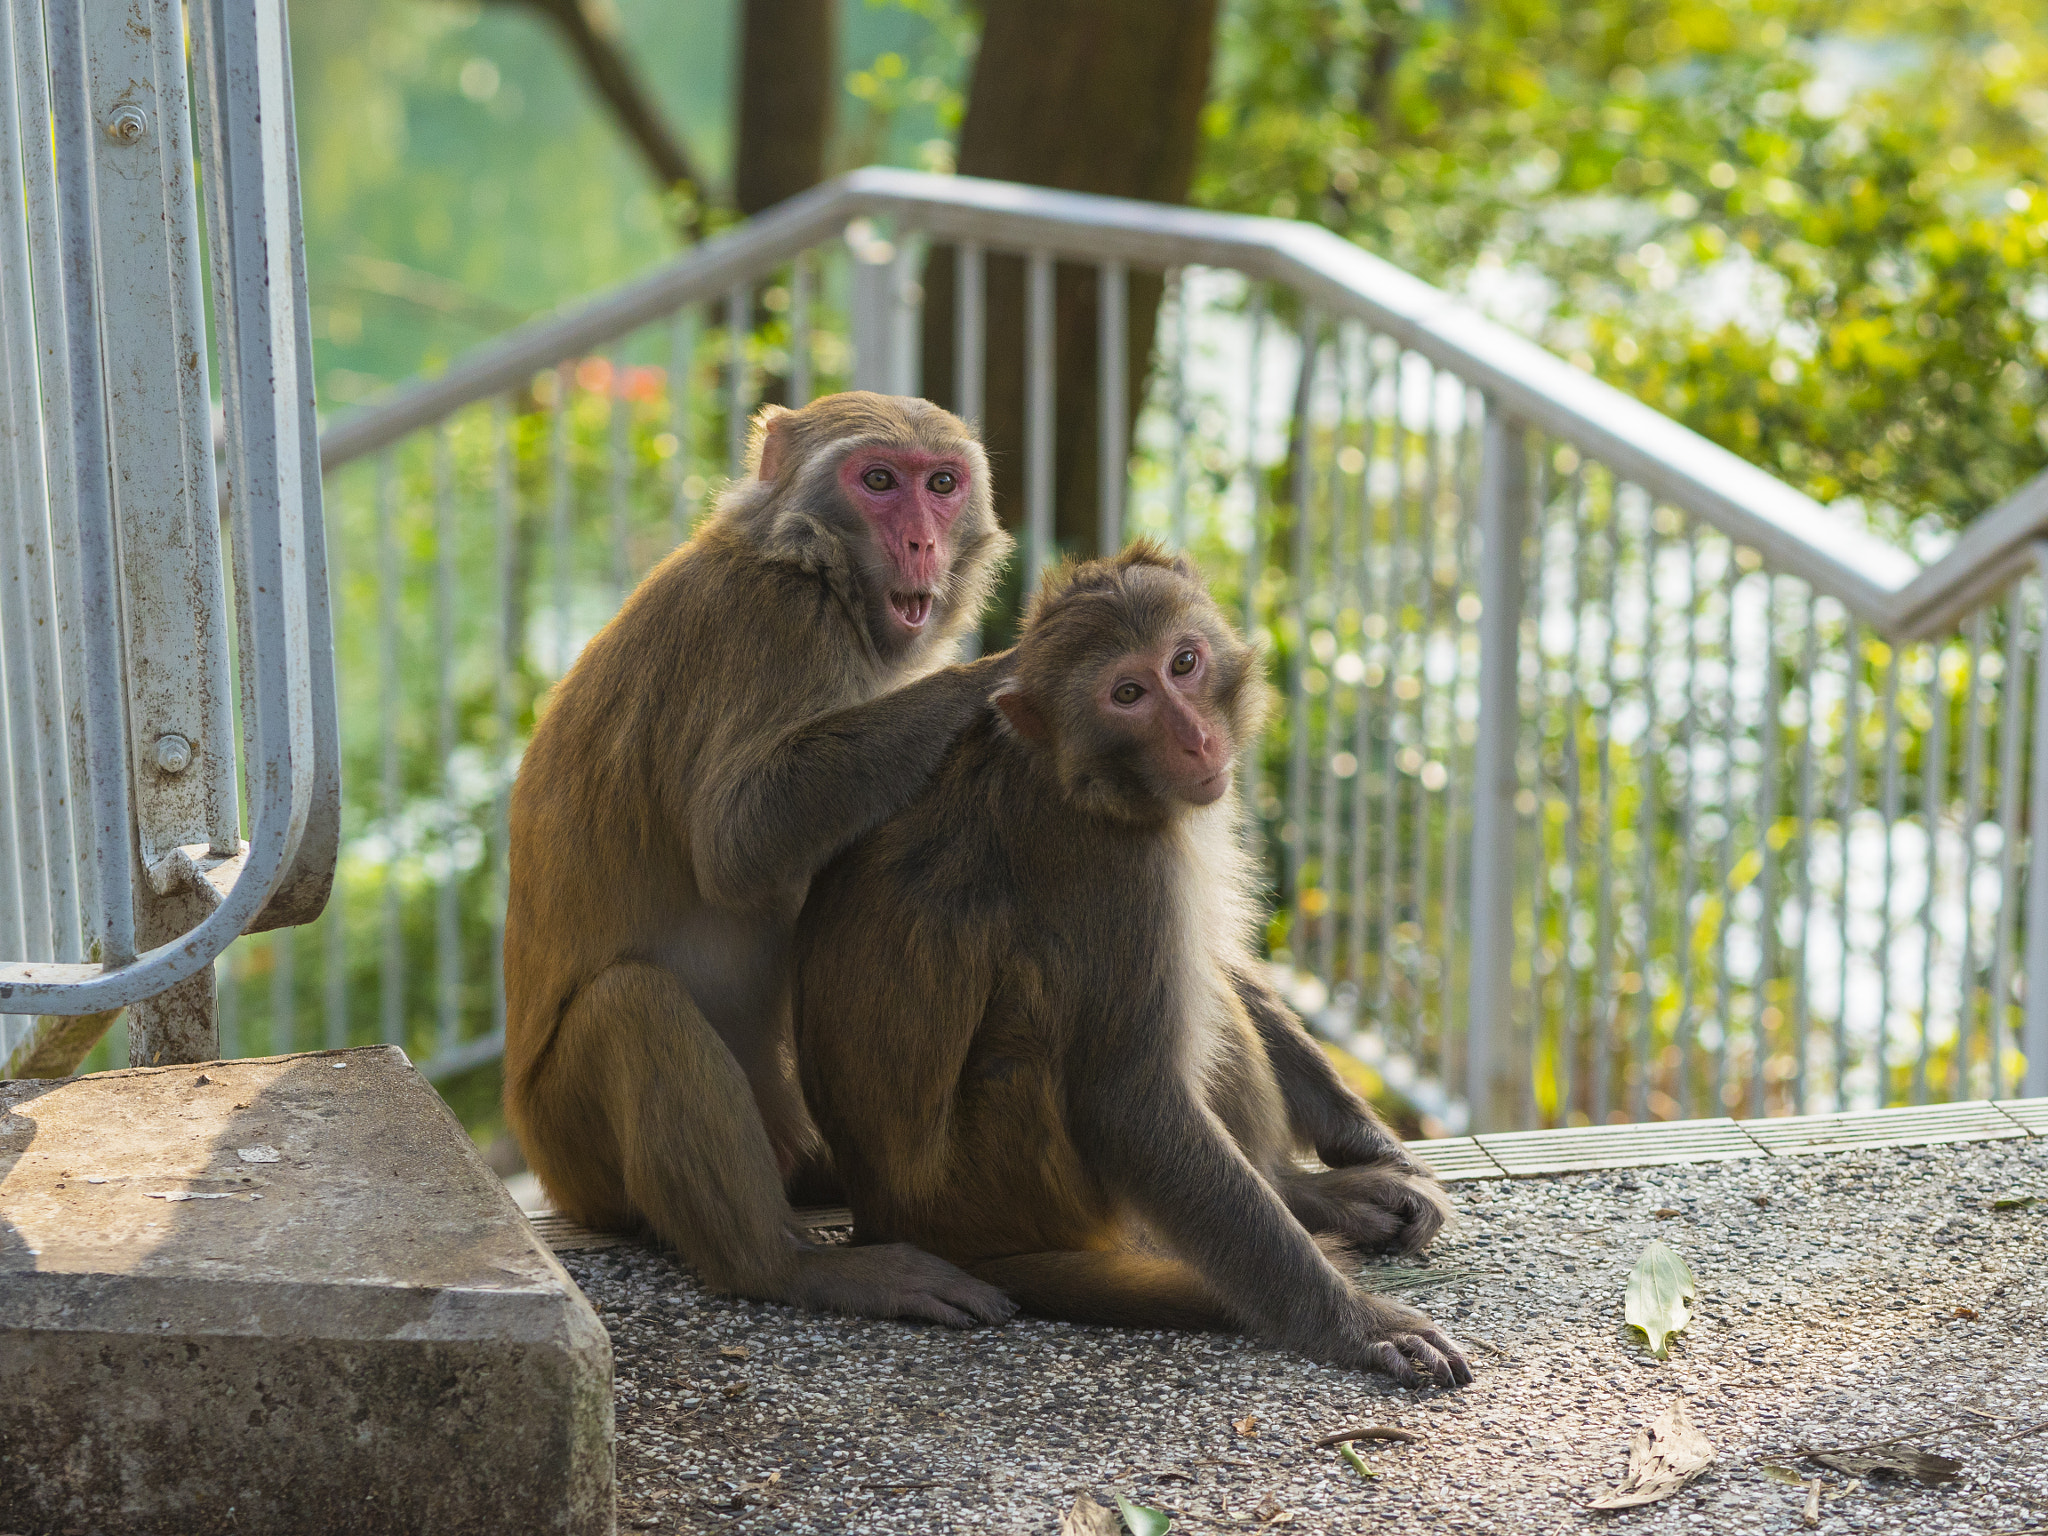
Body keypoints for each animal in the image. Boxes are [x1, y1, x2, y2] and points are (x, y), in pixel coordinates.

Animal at [503, 391, 1024, 1327]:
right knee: (631, 1005)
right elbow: (737, 840)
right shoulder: (776, 628)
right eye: (879, 482)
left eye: (941, 485)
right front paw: (1006, 671)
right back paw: (785, 1266)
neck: (803, 561)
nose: (922, 542)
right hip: (576, 1148)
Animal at [786, 548, 1474, 1392]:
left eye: (1184, 663)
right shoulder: (1119, 868)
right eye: (1127, 695)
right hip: (1011, 1180)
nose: (1197, 740)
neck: (1070, 774)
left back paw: (1305, 1193)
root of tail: (895, 1221)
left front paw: (1381, 1151)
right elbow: (1129, 1102)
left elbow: (1221, 962)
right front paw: (1356, 1323)